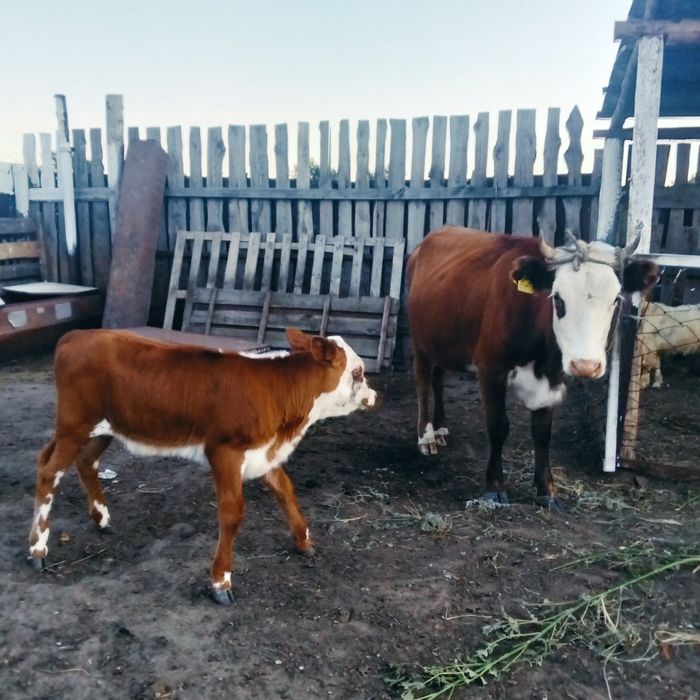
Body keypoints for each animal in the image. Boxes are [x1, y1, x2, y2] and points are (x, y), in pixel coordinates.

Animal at [27, 328, 377, 604]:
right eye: (358, 372)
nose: (374, 396)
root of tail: (77, 335)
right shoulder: (225, 452)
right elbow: (232, 514)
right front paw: (221, 580)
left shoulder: (264, 452)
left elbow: (285, 491)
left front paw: (303, 541)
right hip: (75, 425)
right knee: (48, 473)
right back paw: (38, 549)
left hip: (101, 429)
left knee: (78, 461)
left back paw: (101, 517)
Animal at [407, 227, 658, 509]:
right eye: (557, 299)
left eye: (616, 298)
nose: (585, 365)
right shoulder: (490, 370)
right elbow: (498, 427)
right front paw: (495, 488)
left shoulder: (552, 376)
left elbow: (542, 433)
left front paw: (546, 490)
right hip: (420, 340)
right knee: (422, 381)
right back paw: (426, 436)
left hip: (441, 339)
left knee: (438, 378)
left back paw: (440, 428)